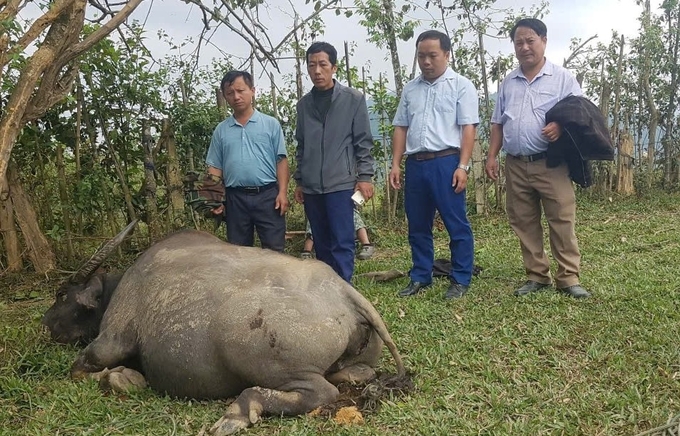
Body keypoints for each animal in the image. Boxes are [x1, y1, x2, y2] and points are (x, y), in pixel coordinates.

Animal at [43, 223, 404, 434]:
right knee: (353, 375)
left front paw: (125, 378)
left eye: (62, 295)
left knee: (321, 392)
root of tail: (344, 293)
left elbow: (81, 369)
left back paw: (239, 411)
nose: (46, 323)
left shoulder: (110, 341)